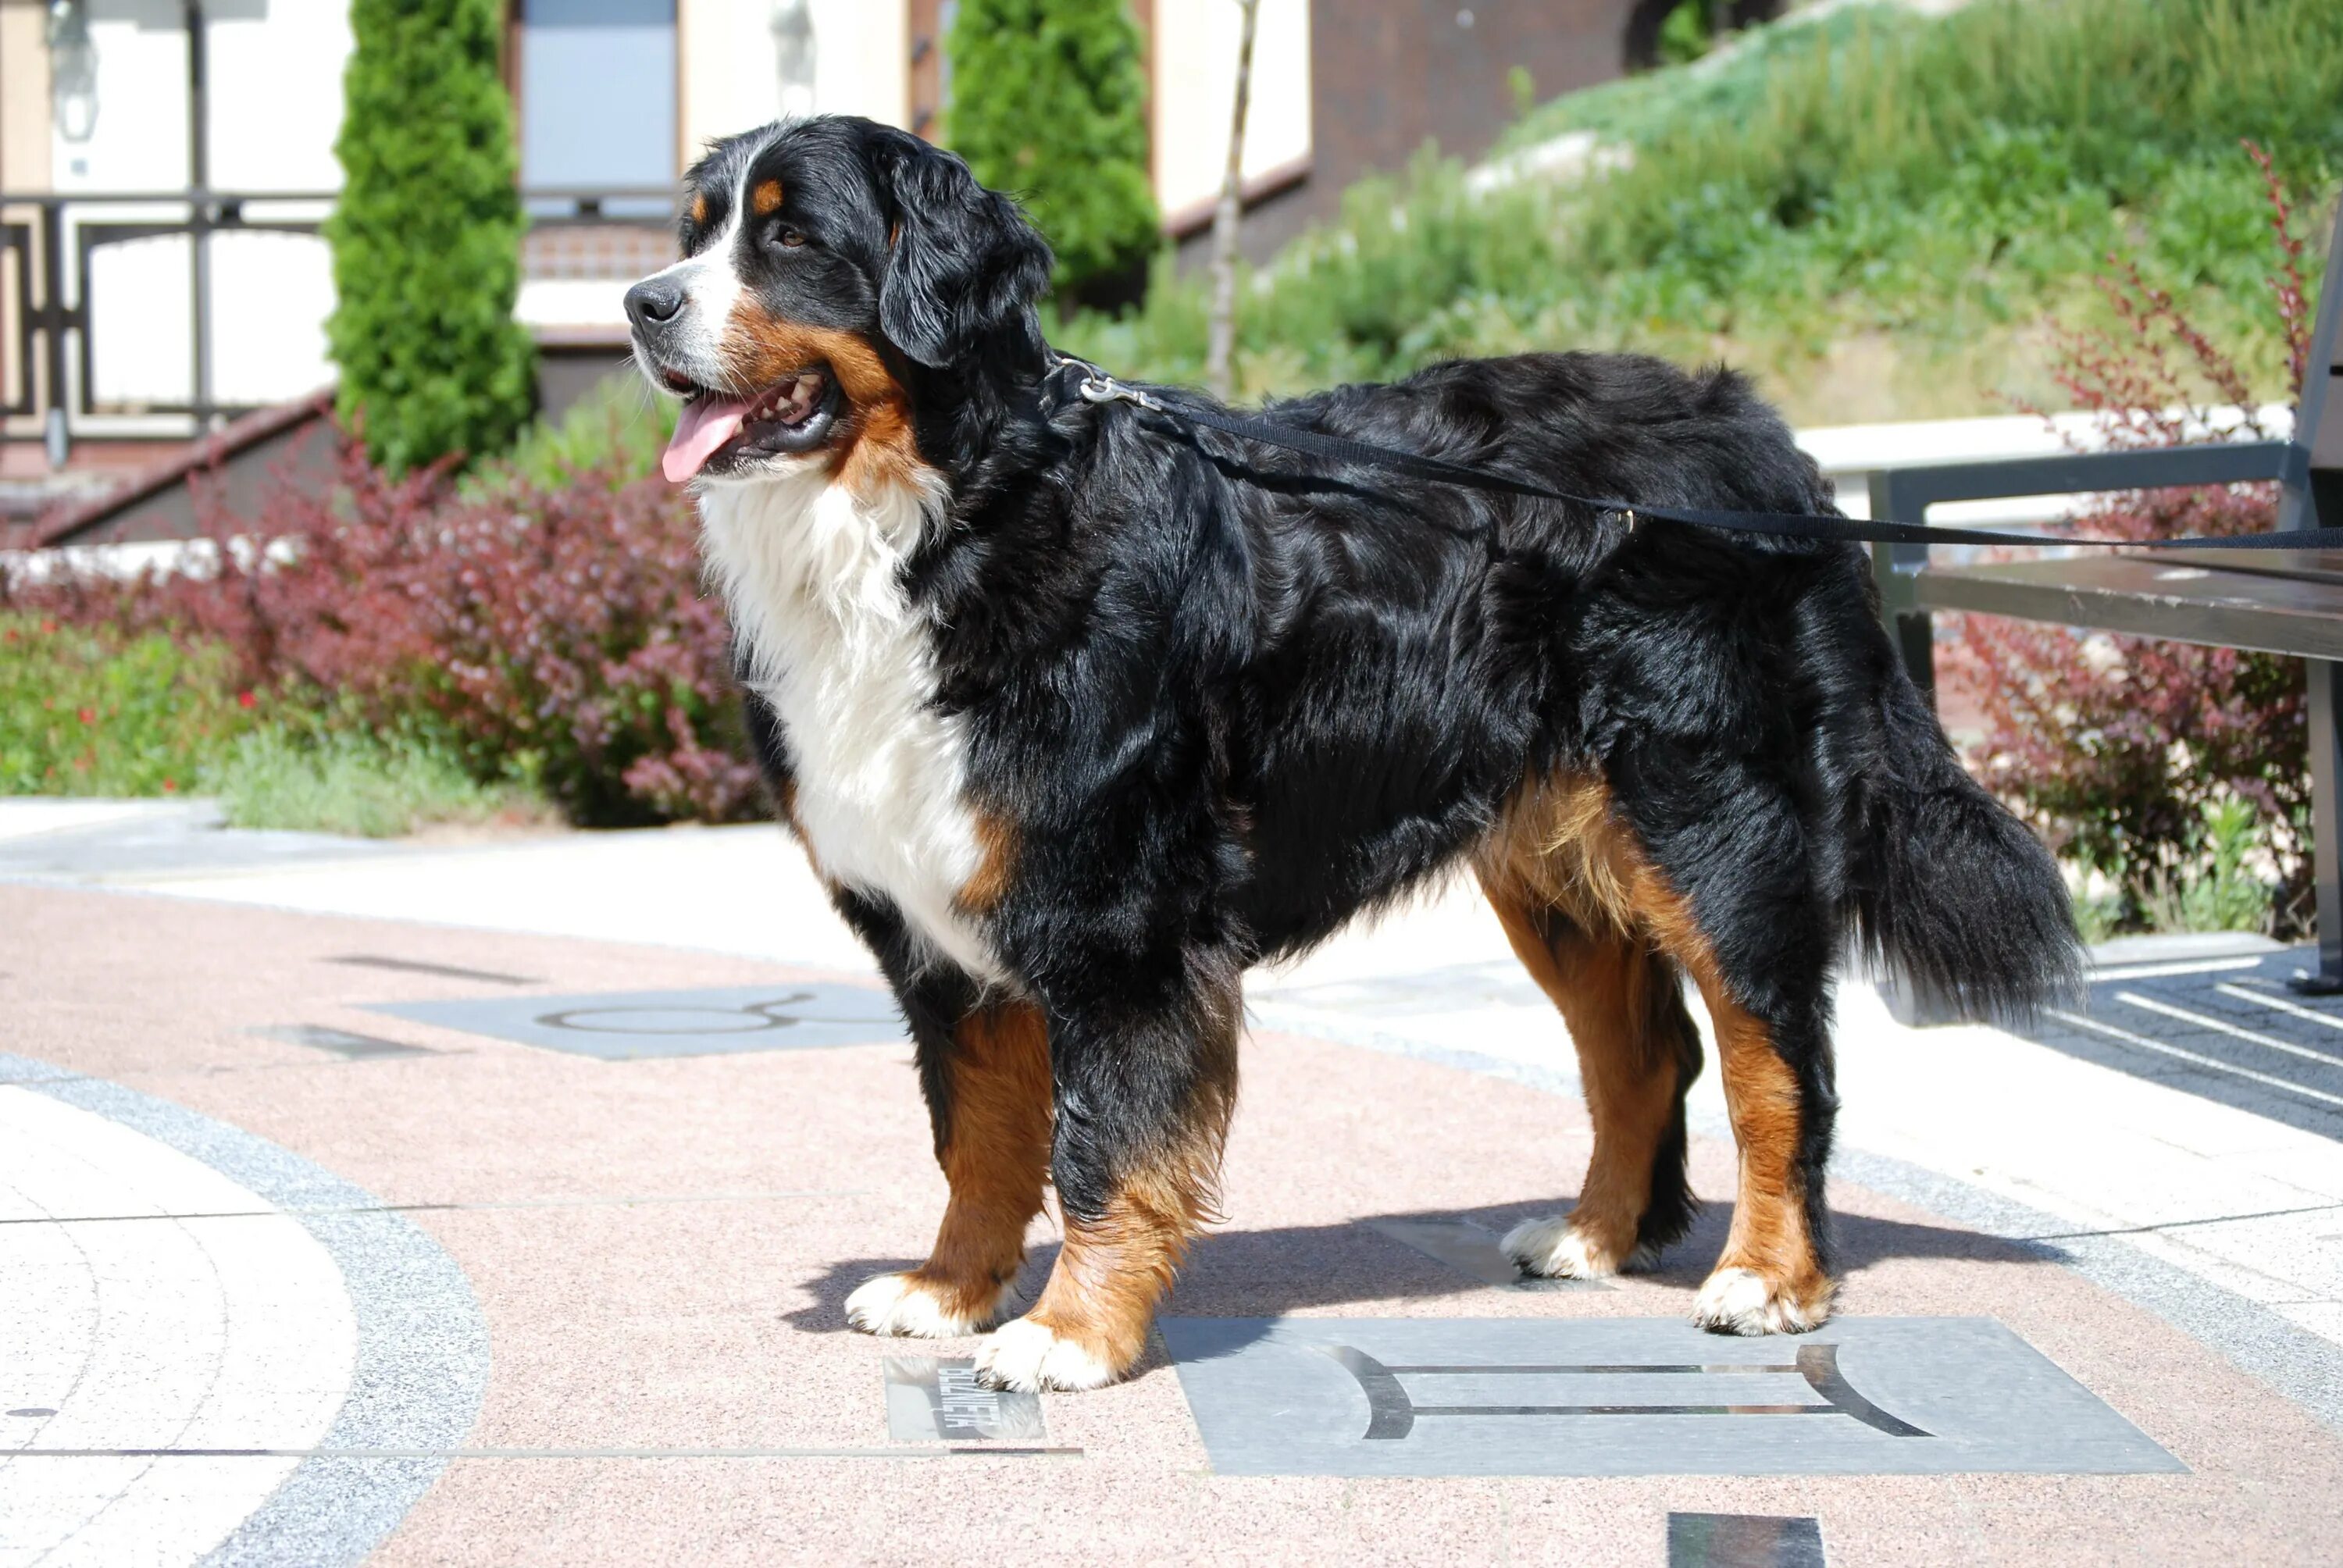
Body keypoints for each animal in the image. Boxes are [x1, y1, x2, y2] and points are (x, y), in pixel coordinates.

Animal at [619, 116, 2071, 1387]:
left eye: (789, 236)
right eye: (695, 231)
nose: (641, 303)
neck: (946, 517)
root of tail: (1763, 439)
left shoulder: (1118, 921)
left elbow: (1101, 1148)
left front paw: (1067, 1335)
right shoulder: (936, 923)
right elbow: (976, 1137)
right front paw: (948, 1288)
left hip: (1714, 814)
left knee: (1780, 1062)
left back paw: (1771, 1275)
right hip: (1552, 858)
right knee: (1643, 1051)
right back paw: (1595, 1236)